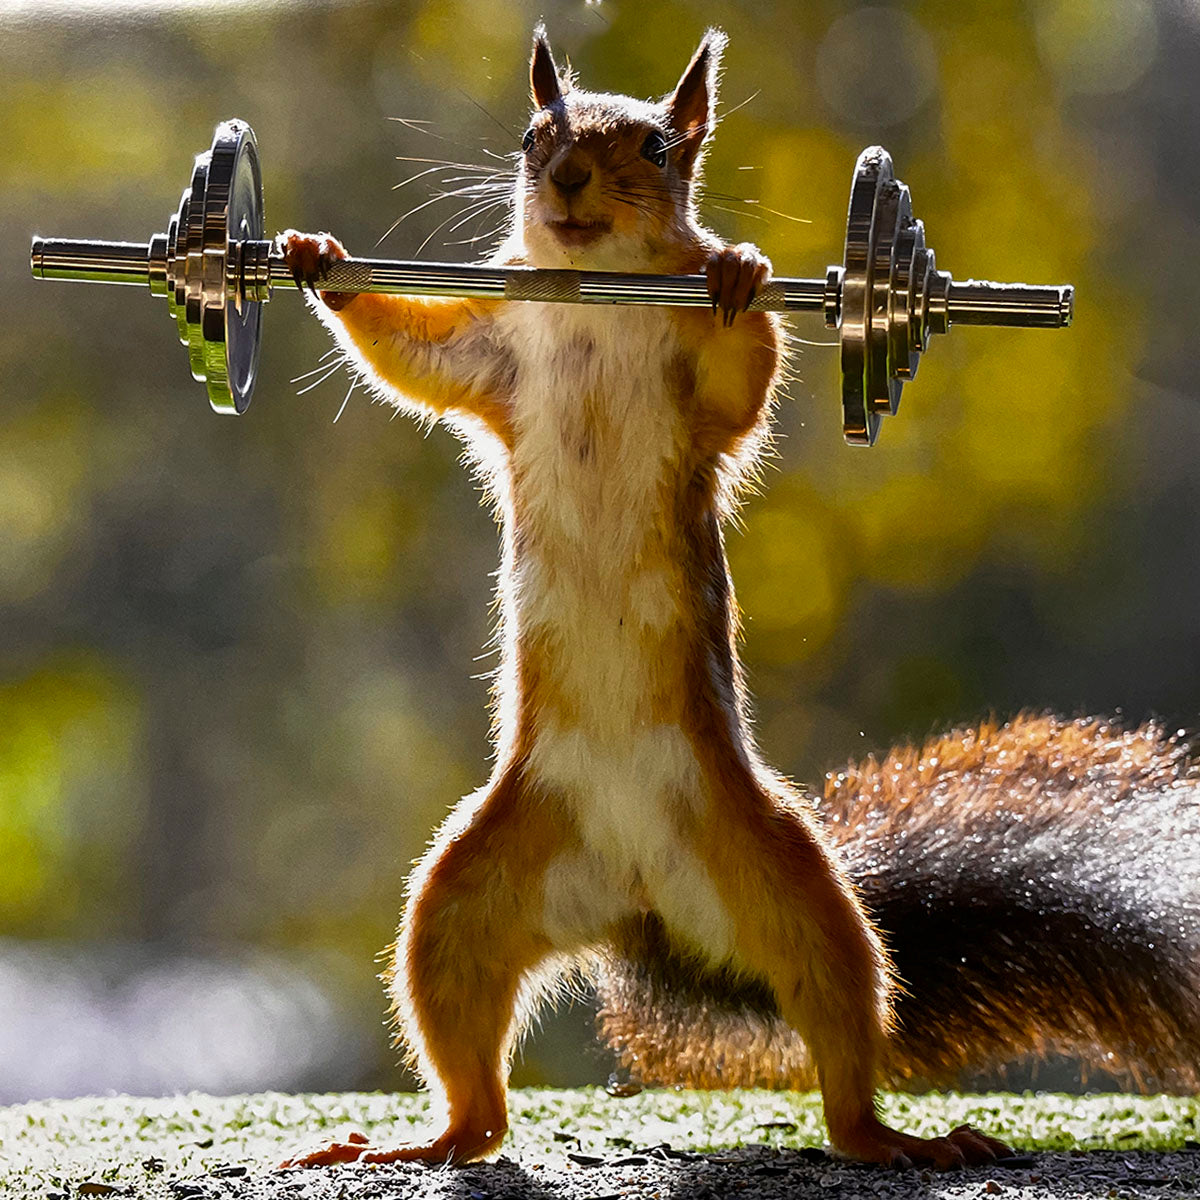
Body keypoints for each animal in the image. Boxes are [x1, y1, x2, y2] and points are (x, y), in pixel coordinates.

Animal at [276, 29, 1200, 1171]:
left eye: (659, 147)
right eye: (534, 135)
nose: (568, 177)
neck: (598, 290)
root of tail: (634, 905)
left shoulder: (696, 396)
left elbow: (739, 377)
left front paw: (737, 271)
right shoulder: (494, 355)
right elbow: (416, 356)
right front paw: (314, 260)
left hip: (788, 885)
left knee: (840, 1026)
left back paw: (897, 1138)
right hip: (466, 901)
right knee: (475, 1085)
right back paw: (412, 1143)